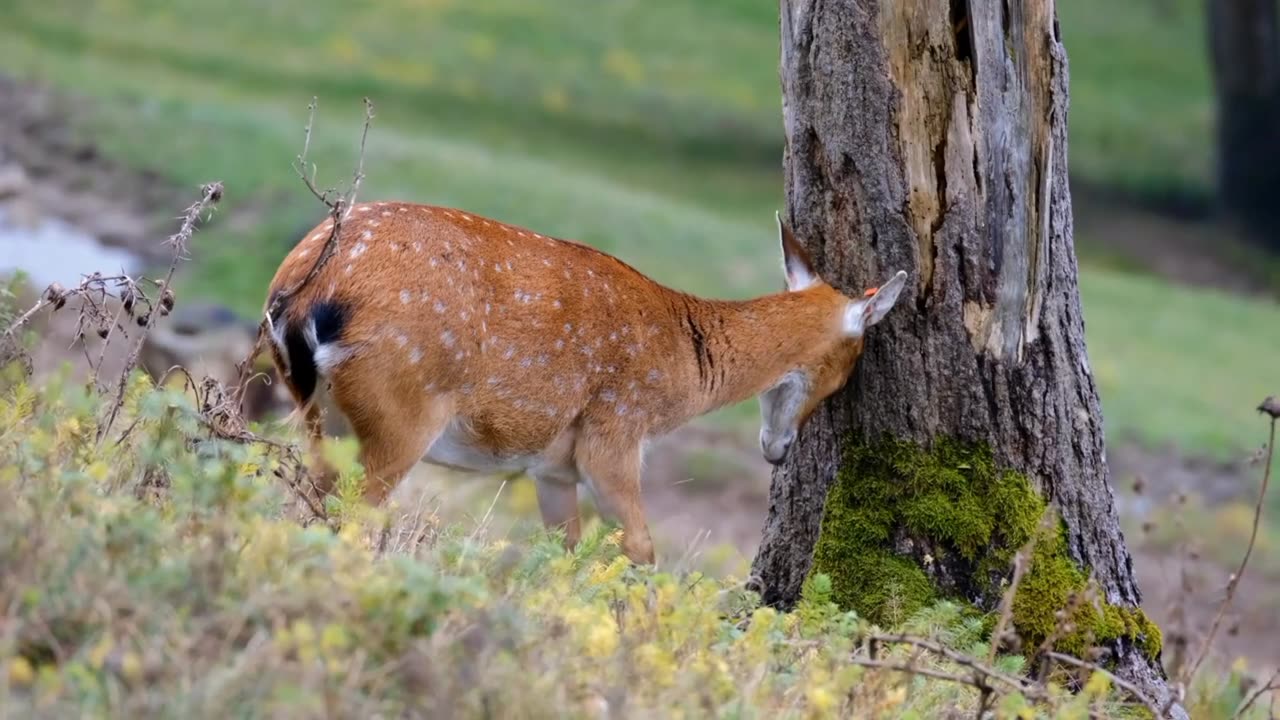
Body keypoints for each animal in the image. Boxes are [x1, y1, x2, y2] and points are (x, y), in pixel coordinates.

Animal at [262, 198, 911, 563]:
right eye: (846, 371)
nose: (778, 450)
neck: (681, 366)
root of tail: (304, 293)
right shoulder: (614, 432)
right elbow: (641, 548)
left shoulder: (552, 467)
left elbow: (565, 551)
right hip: (402, 410)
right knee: (351, 517)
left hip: (320, 417)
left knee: (299, 506)